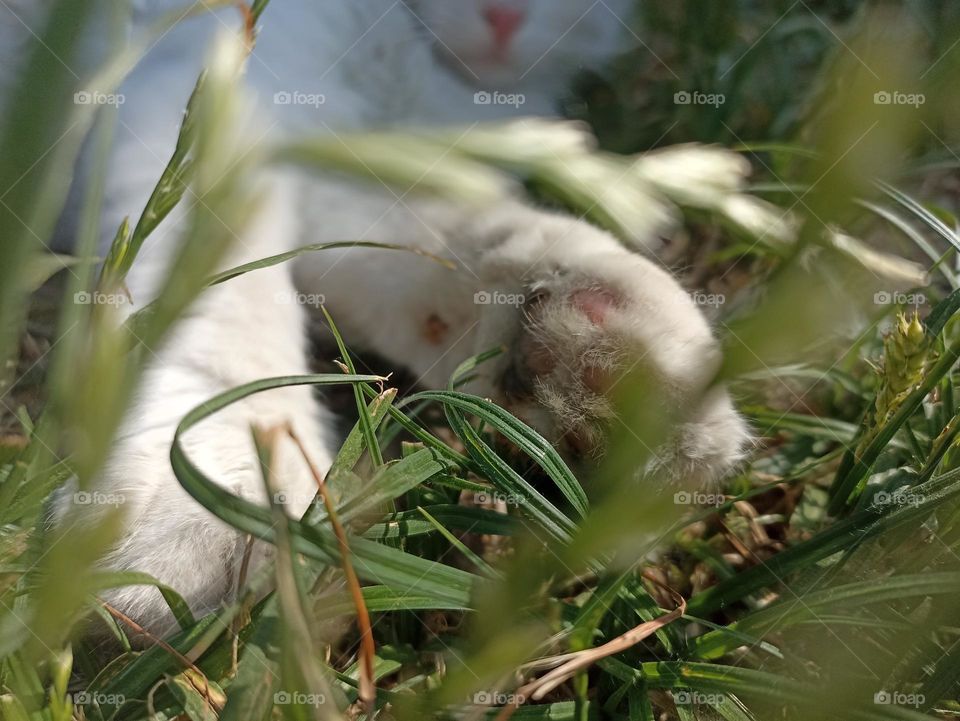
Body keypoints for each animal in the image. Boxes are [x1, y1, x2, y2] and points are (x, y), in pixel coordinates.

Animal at [5, 0, 752, 632]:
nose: (505, 15)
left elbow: (432, 237)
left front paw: (599, 363)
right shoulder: (209, 74)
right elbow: (218, 278)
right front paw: (227, 481)